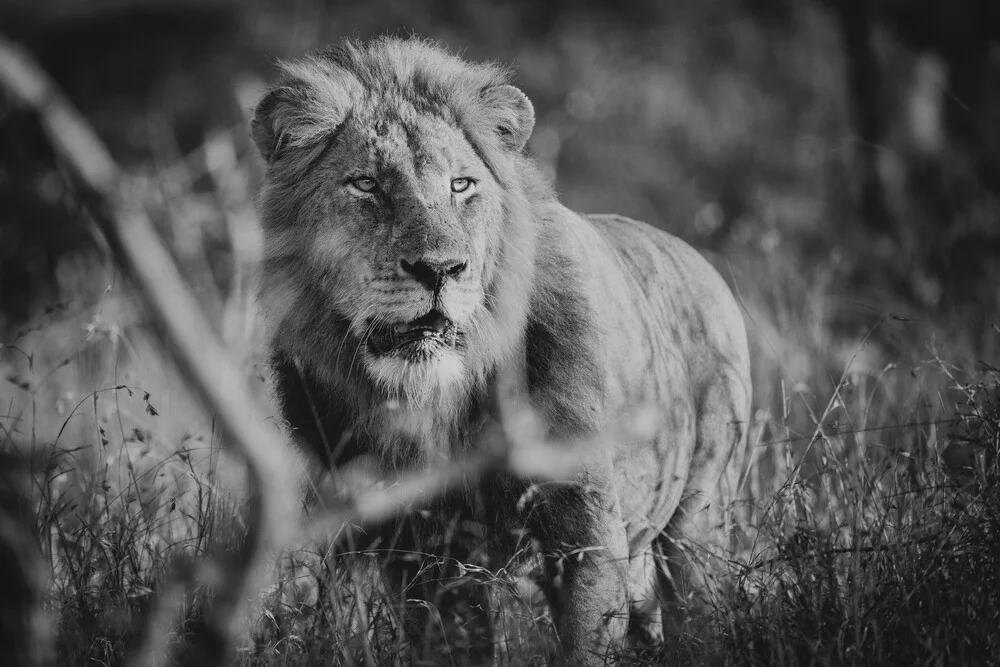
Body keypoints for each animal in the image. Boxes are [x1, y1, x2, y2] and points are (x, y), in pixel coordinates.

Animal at [250, 37, 752, 667]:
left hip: (698, 521)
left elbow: (586, 644)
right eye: (366, 185)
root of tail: (698, 259)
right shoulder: (420, 556)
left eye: (461, 185)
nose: (440, 269)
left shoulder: (584, 530)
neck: (437, 399)